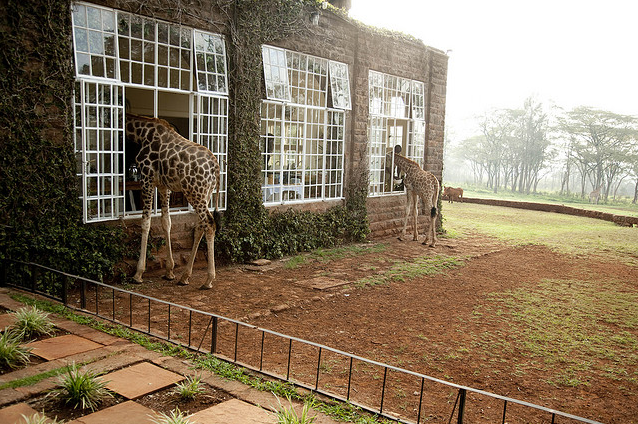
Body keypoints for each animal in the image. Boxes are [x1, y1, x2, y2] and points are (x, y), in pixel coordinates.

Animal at [126, 114, 224, 290]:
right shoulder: (163, 186)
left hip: (195, 192)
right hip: (205, 193)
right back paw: (184, 276)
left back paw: (208, 280)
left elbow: (146, 222)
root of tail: (216, 168)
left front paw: (138, 274)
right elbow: (166, 222)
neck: (139, 133)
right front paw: (169, 271)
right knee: (200, 226)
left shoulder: (146, 178)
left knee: (209, 224)